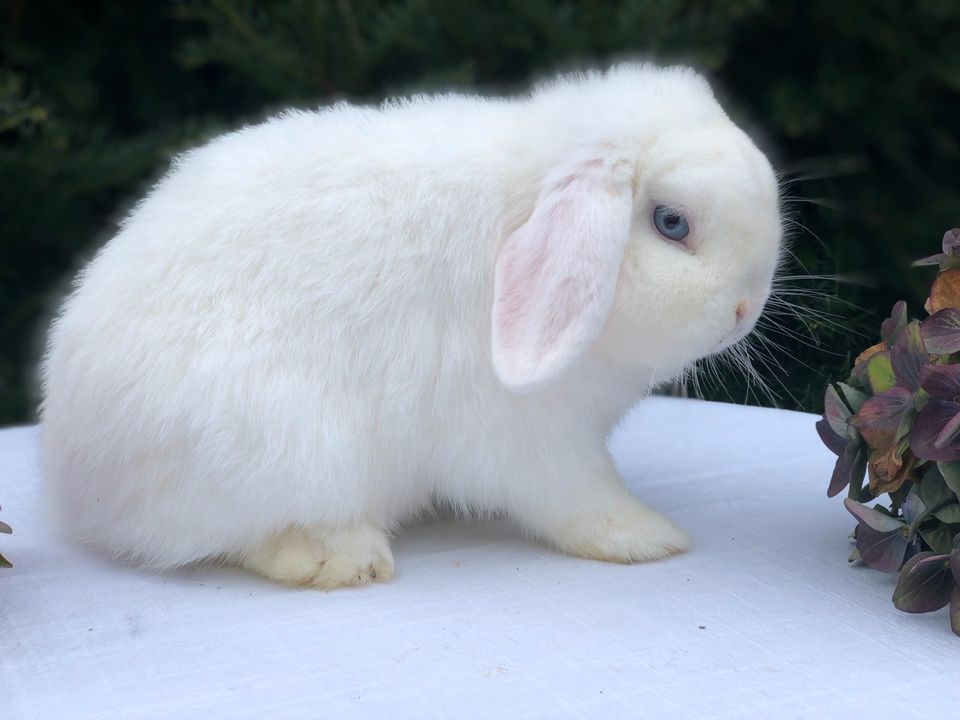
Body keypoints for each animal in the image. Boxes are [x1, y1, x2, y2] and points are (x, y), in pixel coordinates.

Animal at [41, 64, 784, 588]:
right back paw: (342, 558)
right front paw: (648, 538)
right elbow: (582, 495)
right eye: (671, 222)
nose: (743, 312)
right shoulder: (536, 441)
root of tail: (78, 480)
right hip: (289, 451)